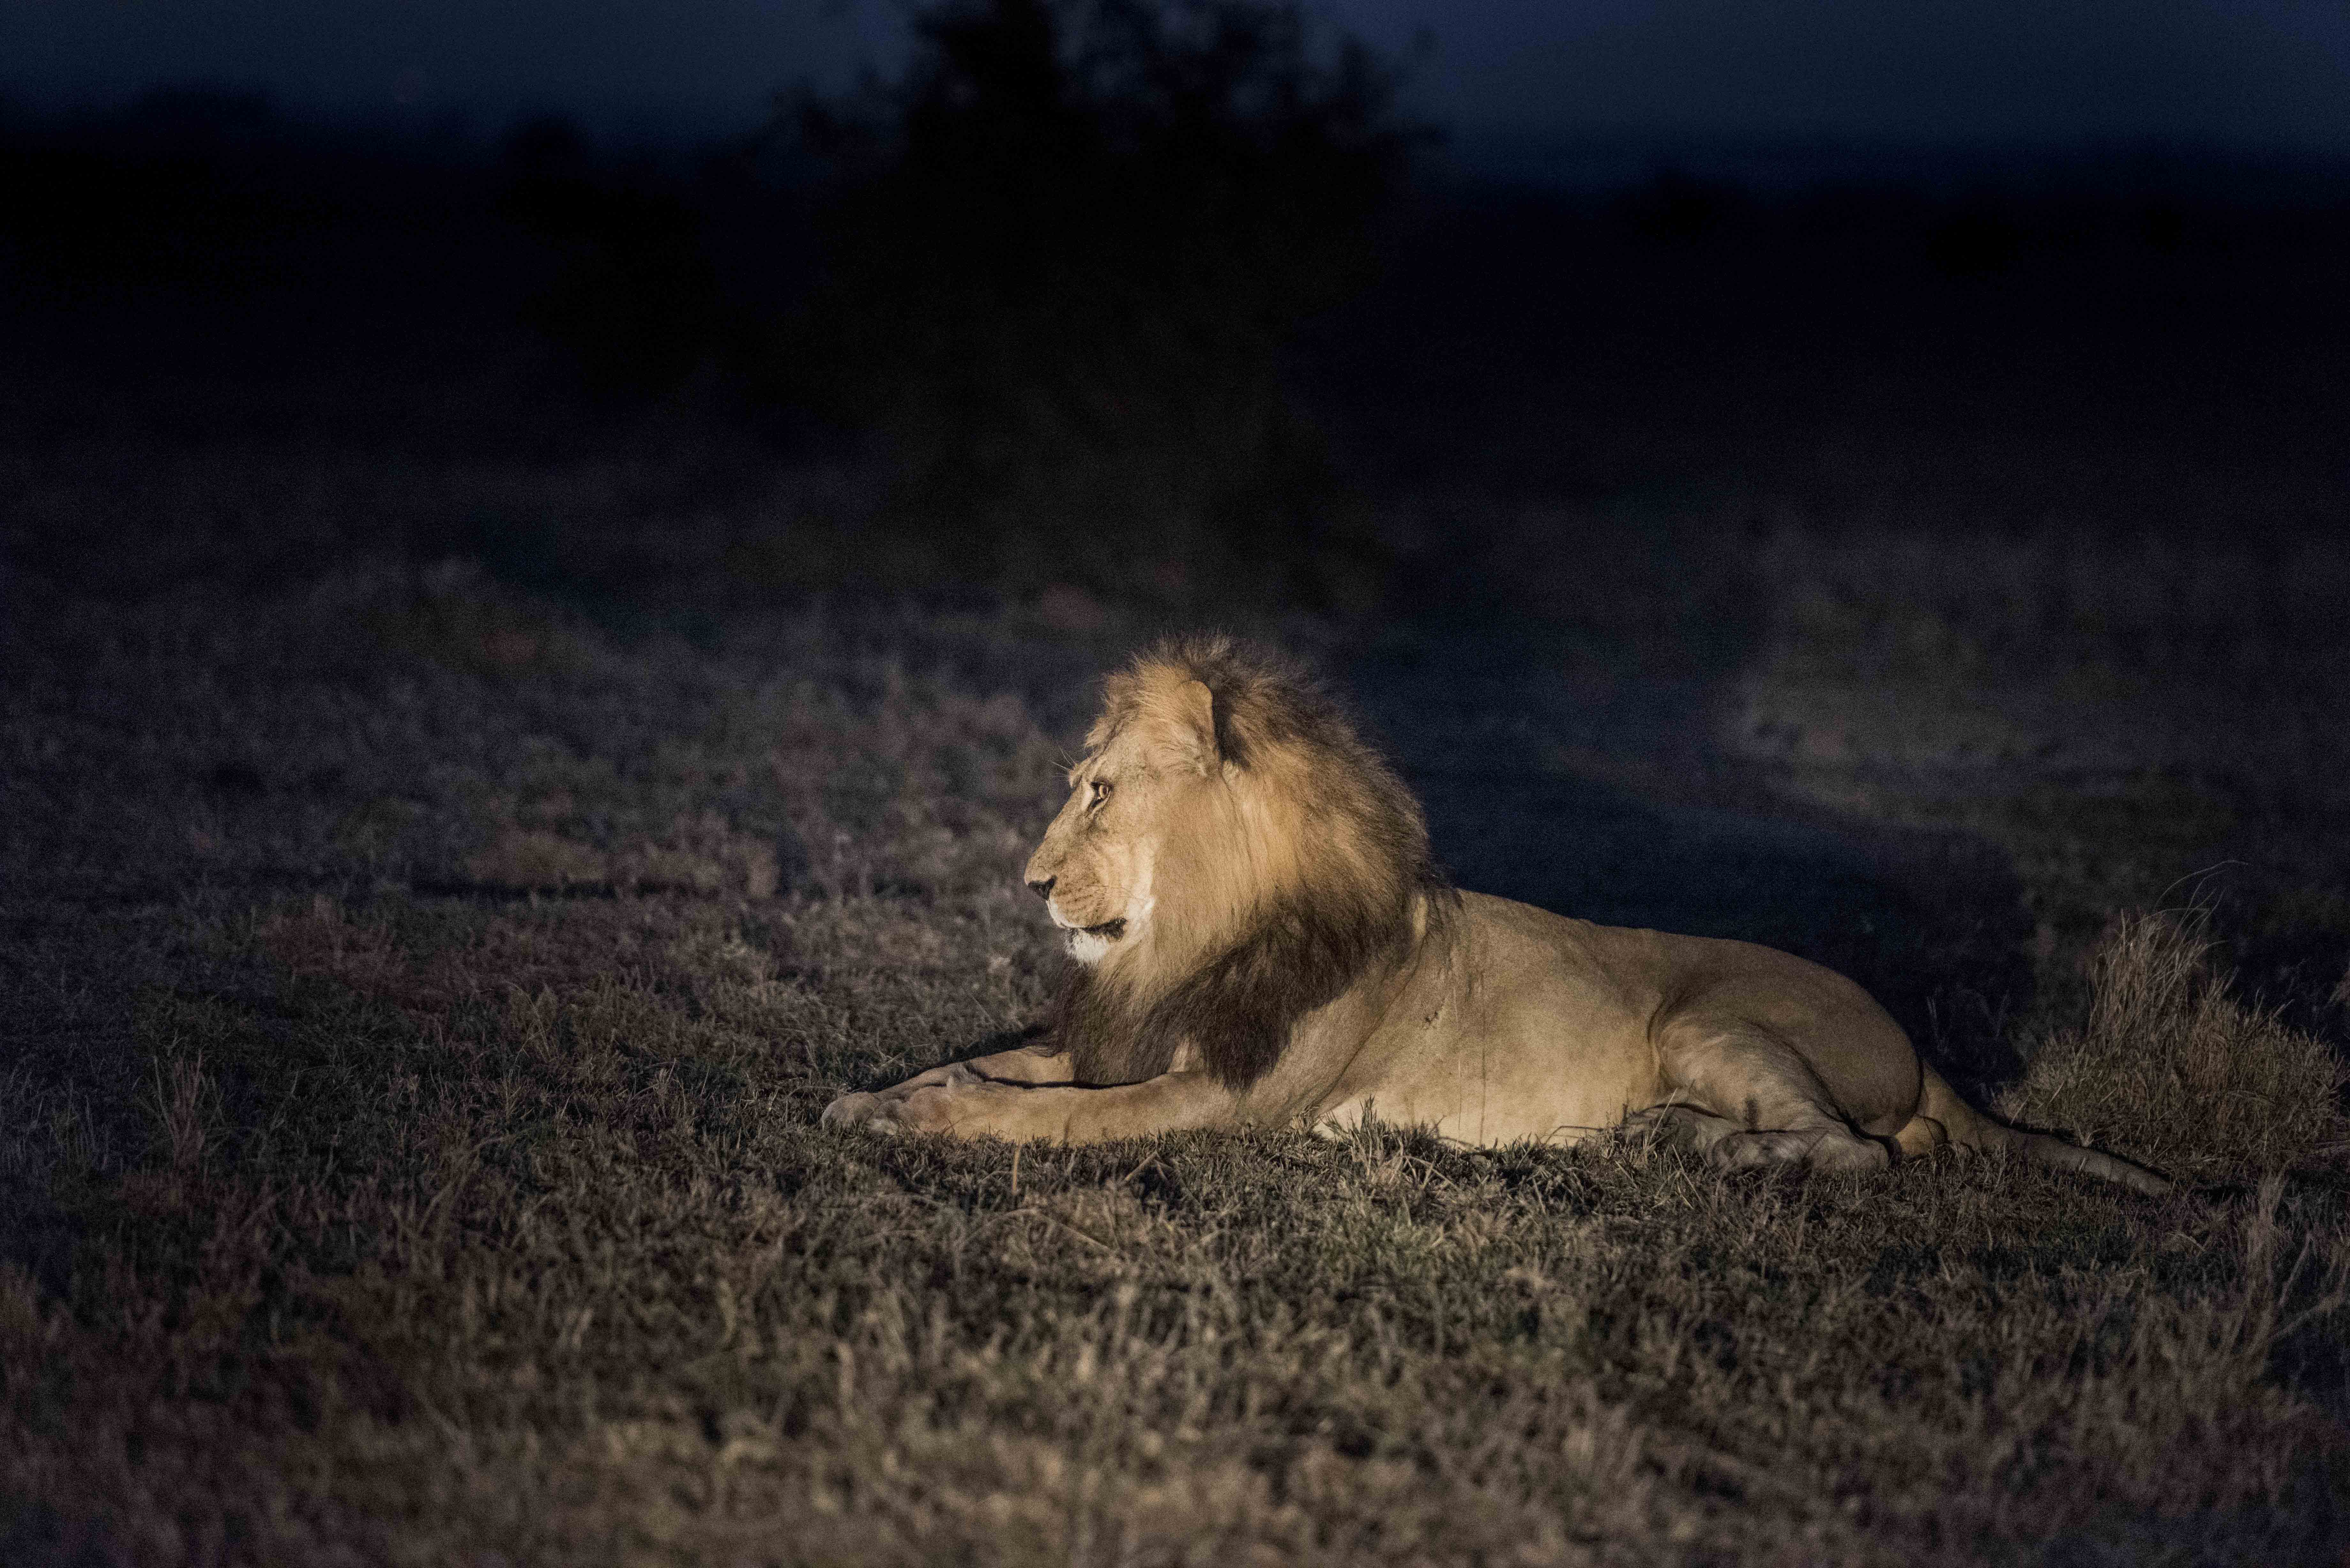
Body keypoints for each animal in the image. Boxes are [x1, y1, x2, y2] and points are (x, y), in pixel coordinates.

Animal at [822, 635, 2162, 1189]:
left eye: (1098, 793)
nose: (1031, 882)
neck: (1187, 938)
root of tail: (1928, 1056)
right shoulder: (1129, 1037)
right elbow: (1003, 1062)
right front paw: (873, 1096)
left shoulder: (1226, 1094)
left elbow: (1048, 1116)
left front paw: (932, 1118)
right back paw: (1658, 1137)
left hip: (1711, 1019)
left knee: (1858, 1151)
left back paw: (1709, 1149)